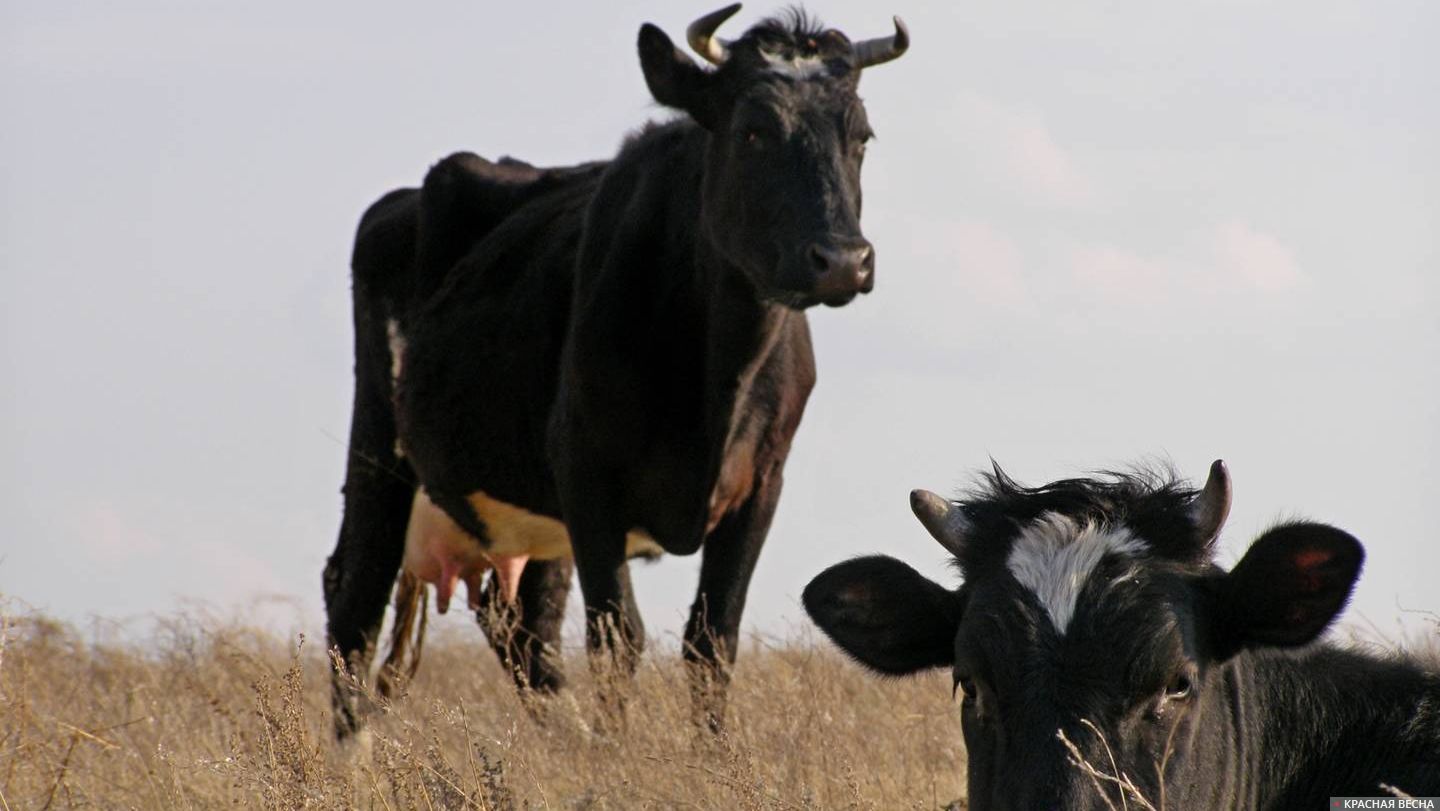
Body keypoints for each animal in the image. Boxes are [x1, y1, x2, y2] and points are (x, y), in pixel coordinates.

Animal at [322, 4, 910, 738]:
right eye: (753, 130)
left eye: (861, 135)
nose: (842, 260)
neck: (714, 382)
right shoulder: (586, 474)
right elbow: (617, 636)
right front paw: (618, 750)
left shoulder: (762, 481)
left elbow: (712, 639)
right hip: (380, 448)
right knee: (355, 599)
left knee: (523, 627)